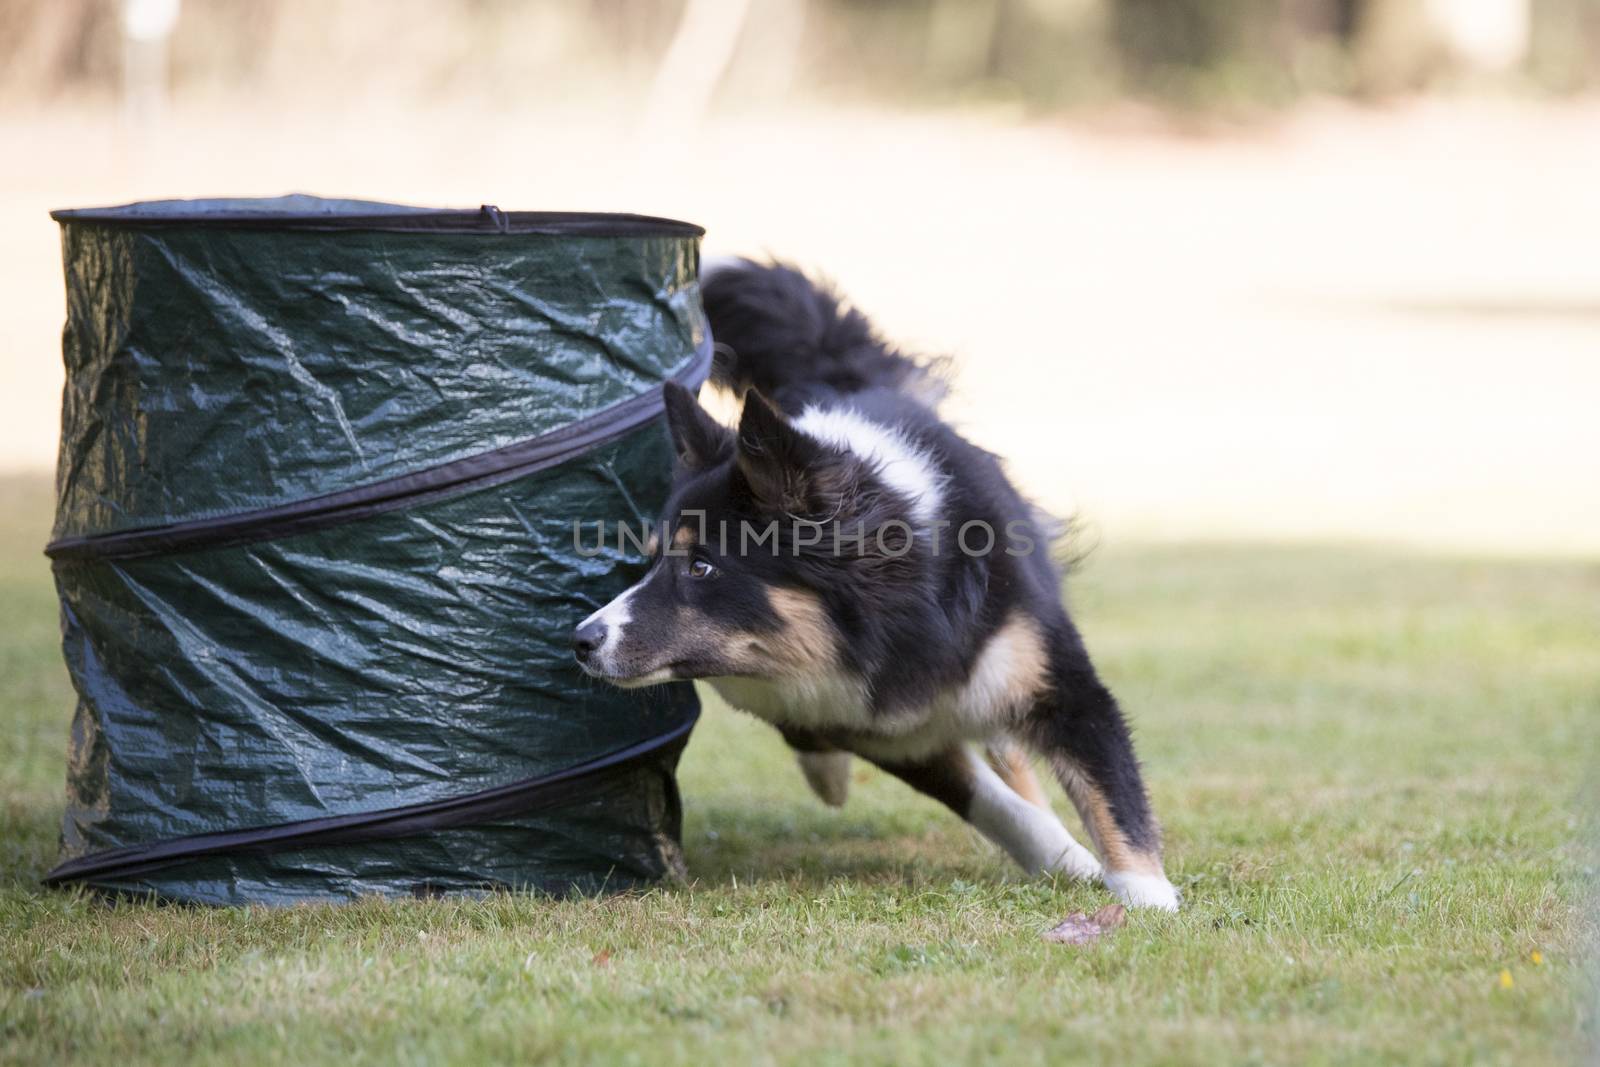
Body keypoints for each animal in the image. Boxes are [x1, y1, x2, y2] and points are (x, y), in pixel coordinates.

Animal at [572, 262, 1177, 915]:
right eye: (653, 560)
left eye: (701, 568)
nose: (581, 640)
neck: (895, 611)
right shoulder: (891, 733)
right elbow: (994, 806)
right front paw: (1066, 861)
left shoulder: (1057, 682)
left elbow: (1110, 790)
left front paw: (1146, 898)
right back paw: (830, 772)